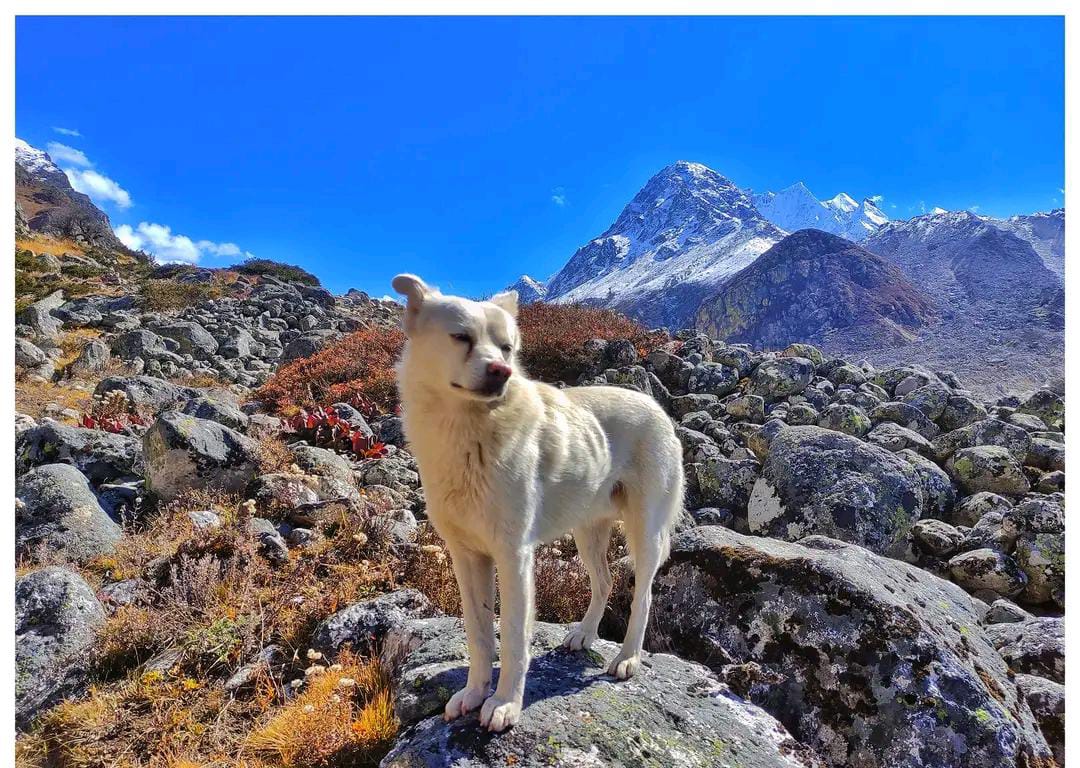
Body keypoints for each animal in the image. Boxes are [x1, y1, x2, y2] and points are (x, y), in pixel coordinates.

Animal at [393, 276, 686, 734]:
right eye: (461, 337)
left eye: (507, 347)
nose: (502, 372)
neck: (468, 432)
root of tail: (656, 406)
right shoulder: (467, 557)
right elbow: (479, 635)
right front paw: (474, 693)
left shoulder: (514, 555)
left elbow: (513, 637)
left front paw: (504, 704)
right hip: (587, 530)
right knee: (604, 582)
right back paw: (584, 635)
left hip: (645, 531)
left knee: (644, 594)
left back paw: (627, 658)